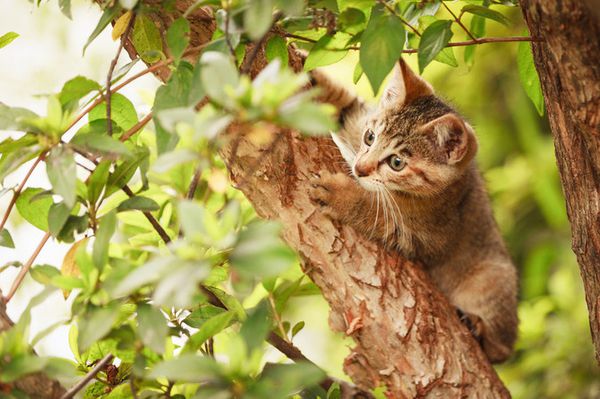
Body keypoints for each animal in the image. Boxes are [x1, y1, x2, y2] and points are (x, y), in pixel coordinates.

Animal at [308, 60, 516, 366]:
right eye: (370, 137)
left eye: (397, 162)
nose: (359, 168)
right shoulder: (356, 122)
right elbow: (343, 105)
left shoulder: (422, 238)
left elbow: (372, 210)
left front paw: (339, 193)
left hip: (494, 277)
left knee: (502, 349)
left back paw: (478, 327)